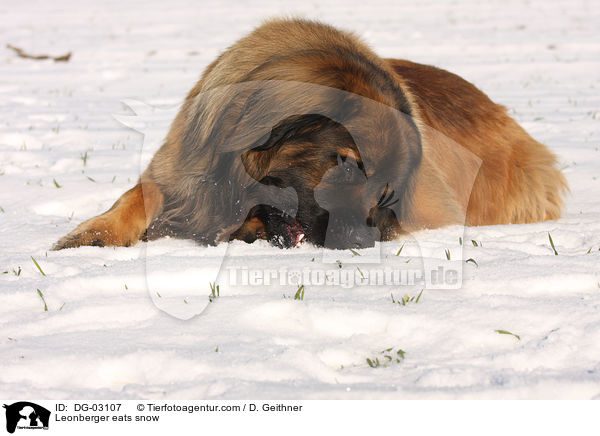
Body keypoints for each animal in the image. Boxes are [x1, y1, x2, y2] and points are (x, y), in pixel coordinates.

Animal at [51, 18, 568, 250]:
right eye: (346, 164)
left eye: (388, 192)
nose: (362, 241)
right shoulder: (180, 169)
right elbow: (138, 195)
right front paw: (92, 235)